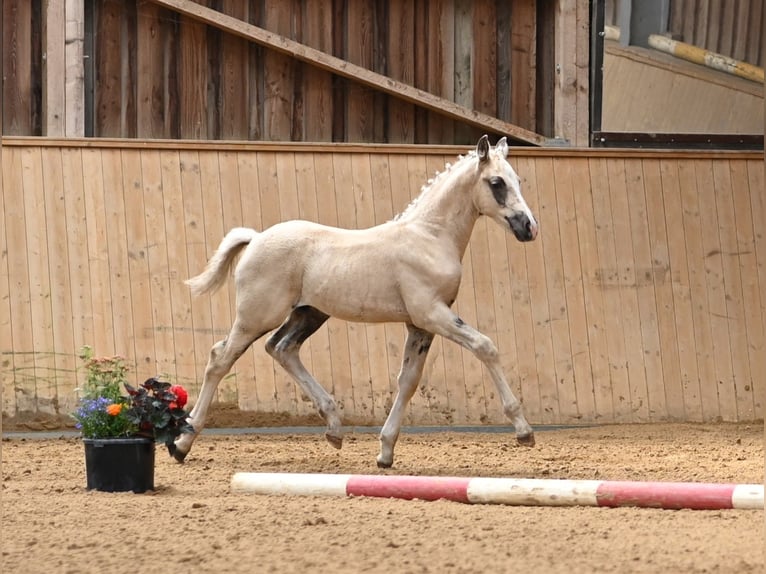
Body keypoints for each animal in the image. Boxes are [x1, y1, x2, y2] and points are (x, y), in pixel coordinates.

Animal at [177, 137, 544, 470]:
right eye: (496, 182)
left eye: (518, 180)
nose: (528, 227)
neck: (429, 237)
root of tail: (255, 238)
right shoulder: (432, 314)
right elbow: (486, 347)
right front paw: (524, 431)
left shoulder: (419, 325)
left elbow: (408, 380)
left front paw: (385, 452)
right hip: (257, 316)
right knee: (220, 359)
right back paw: (182, 443)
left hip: (309, 313)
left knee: (281, 348)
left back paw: (334, 429)